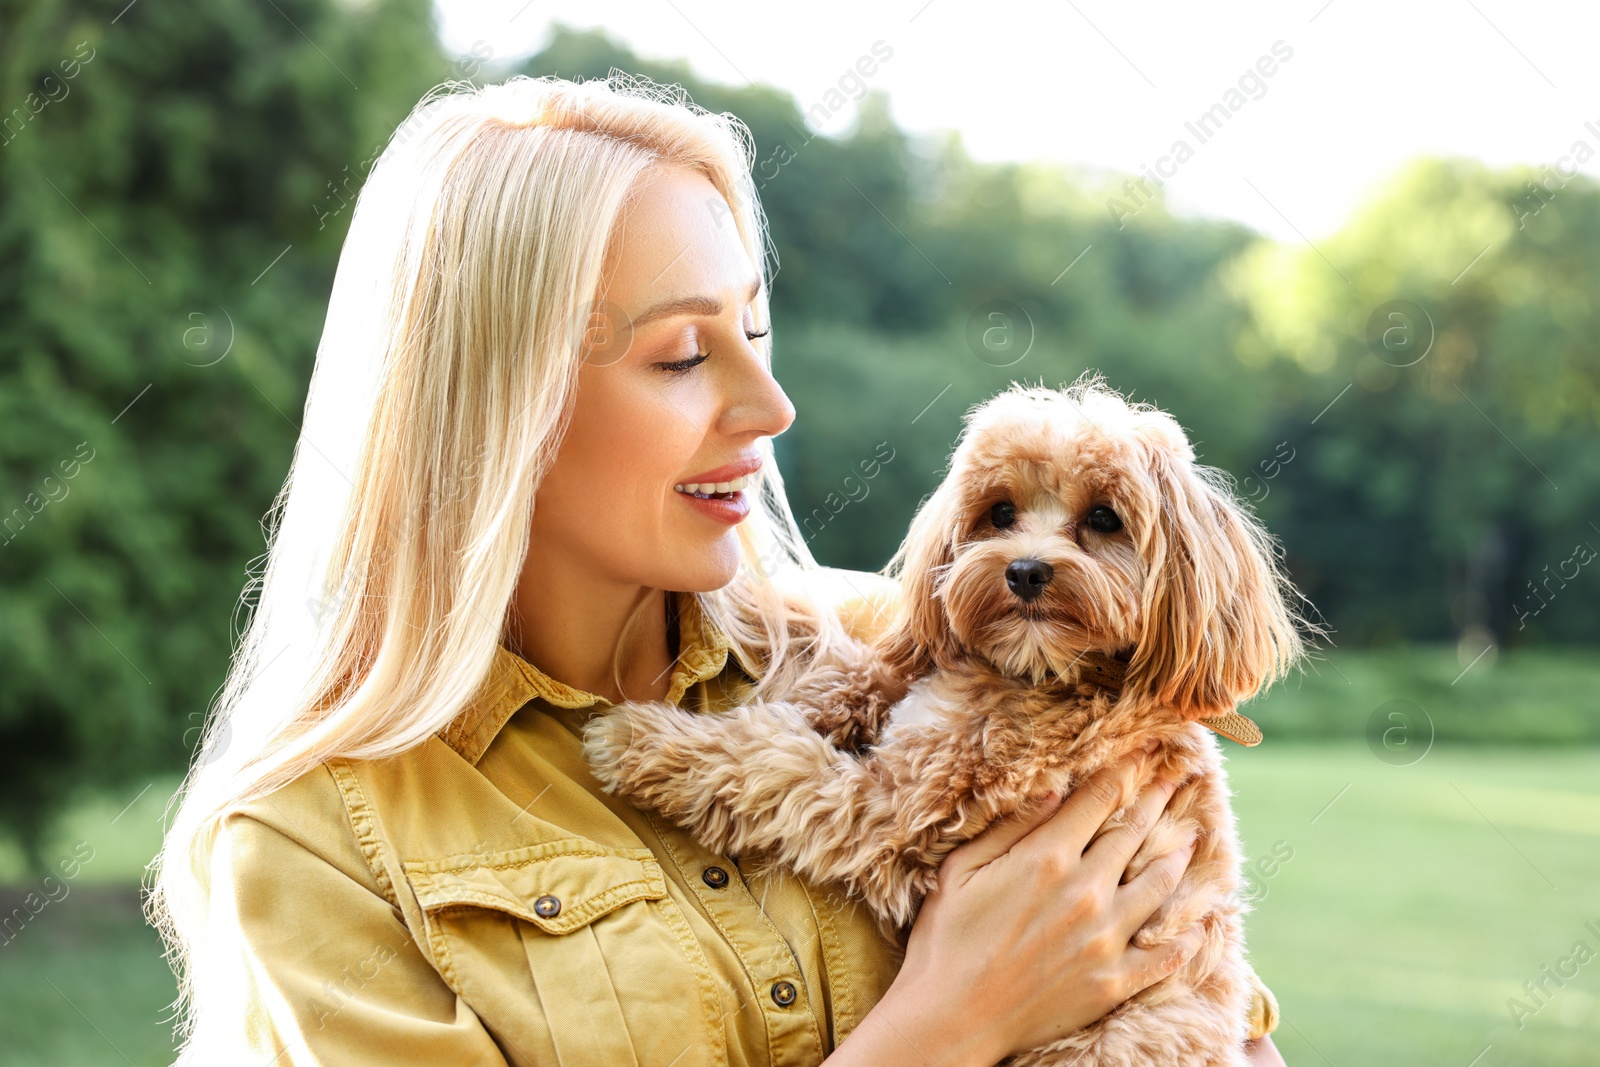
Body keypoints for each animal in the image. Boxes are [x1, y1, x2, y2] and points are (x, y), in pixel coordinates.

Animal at [582, 379, 1305, 1062]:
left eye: (1104, 517)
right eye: (1000, 511)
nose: (1025, 571)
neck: (1042, 676)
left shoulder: (893, 812)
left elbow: (771, 761)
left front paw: (636, 738)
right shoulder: (918, 688)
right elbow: (863, 675)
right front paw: (804, 694)